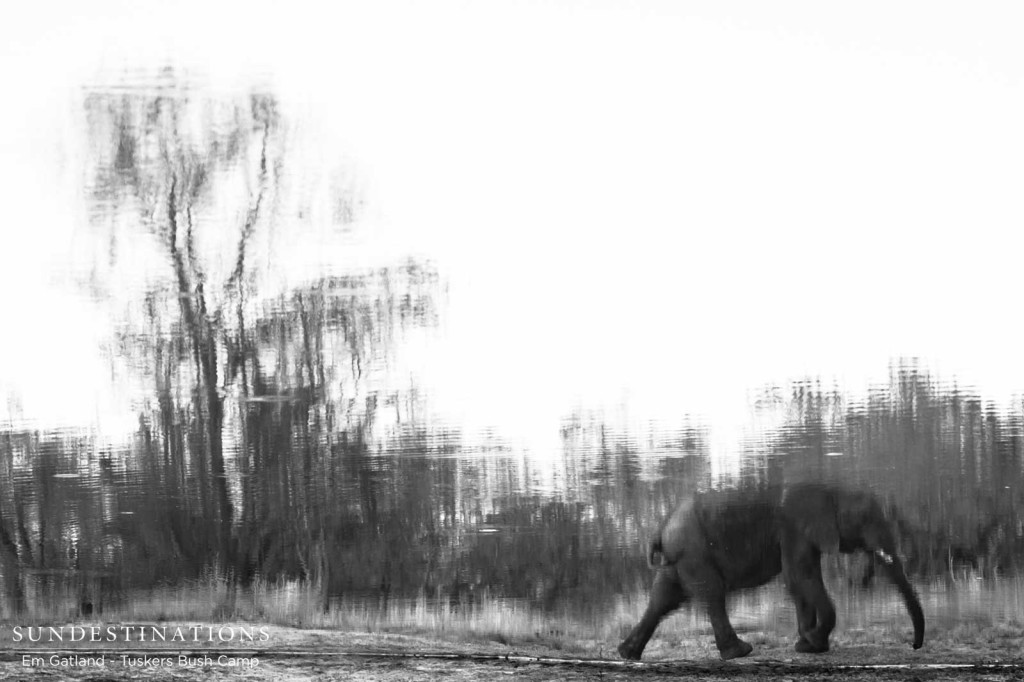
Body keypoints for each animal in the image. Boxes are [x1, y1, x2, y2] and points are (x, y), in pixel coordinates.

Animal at [614, 483, 929, 659]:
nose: (914, 647)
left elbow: (801, 580)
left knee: (662, 599)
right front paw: (813, 643)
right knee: (712, 595)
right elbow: (800, 577)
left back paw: (628, 655)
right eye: (866, 520)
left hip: (680, 560)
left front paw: (806, 644)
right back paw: (740, 653)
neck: (833, 490)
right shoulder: (794, 529)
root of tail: (662, 528)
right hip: (694, 551)